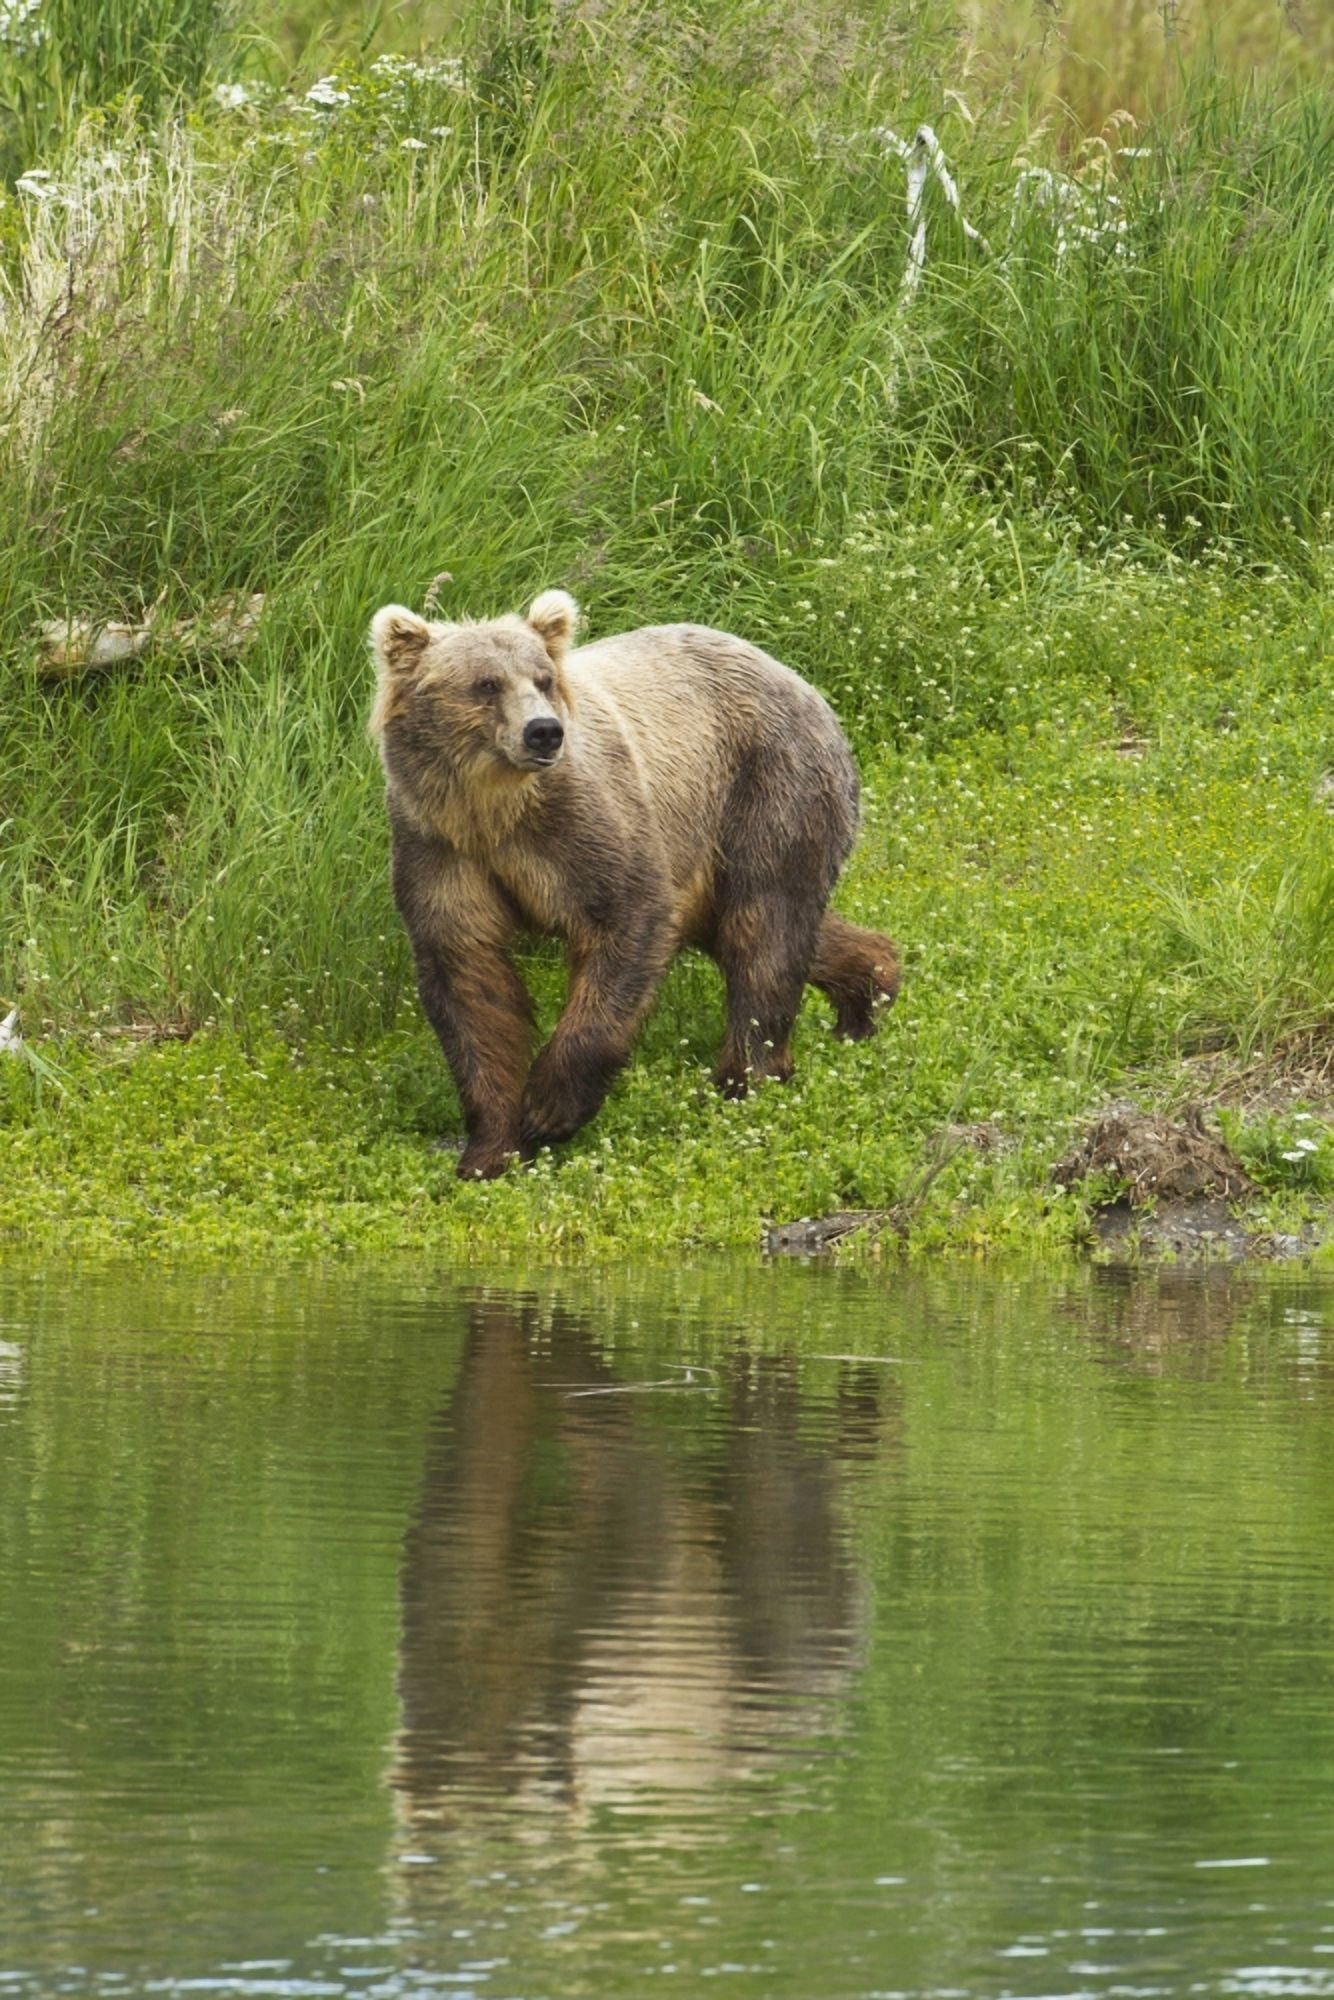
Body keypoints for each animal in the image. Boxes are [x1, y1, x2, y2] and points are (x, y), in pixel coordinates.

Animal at [369, 590, 899, 1180]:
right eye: (485, 684)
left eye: (543, 678)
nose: (543, 731)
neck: (496, 812)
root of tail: (804, 684)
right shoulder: (440, 847)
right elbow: (469, 977)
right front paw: (490, 1149)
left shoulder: (585, 827)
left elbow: (628, 921)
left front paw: (548, 1107)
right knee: (776, 929)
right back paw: (870, 990)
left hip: (767, 789)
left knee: (763, 928)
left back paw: (744, 1077)